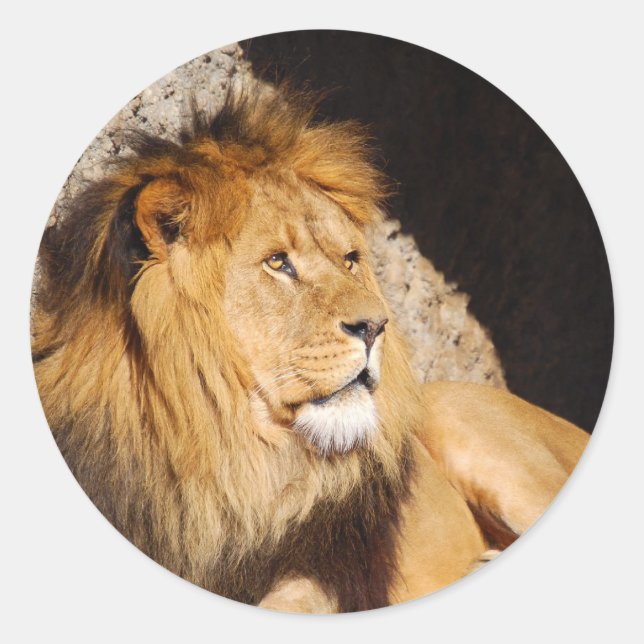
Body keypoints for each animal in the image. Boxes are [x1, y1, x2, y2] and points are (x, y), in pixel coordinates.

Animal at [31, 84, 589, 613]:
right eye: (278, 263)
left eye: (349, 260)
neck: (228, 456)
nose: (376, 326)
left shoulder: (329, 573)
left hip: (459, 415)